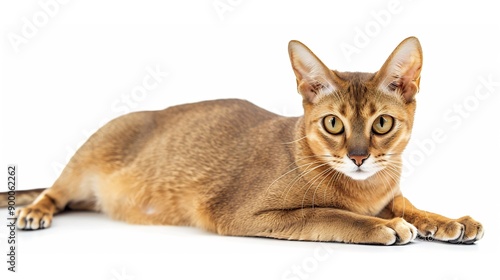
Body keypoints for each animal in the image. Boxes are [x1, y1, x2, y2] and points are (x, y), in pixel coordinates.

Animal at [0, 36, 484, 245]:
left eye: (381, 124)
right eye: (333, 124)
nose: (359, 157)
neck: (365, 189)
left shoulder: (390, 191)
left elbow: (409, 204)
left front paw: (446, 220)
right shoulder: (243, 213)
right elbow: (328, 214)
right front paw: (385, 226)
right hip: (85, 158)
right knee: (53, 192)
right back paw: (34, 211)